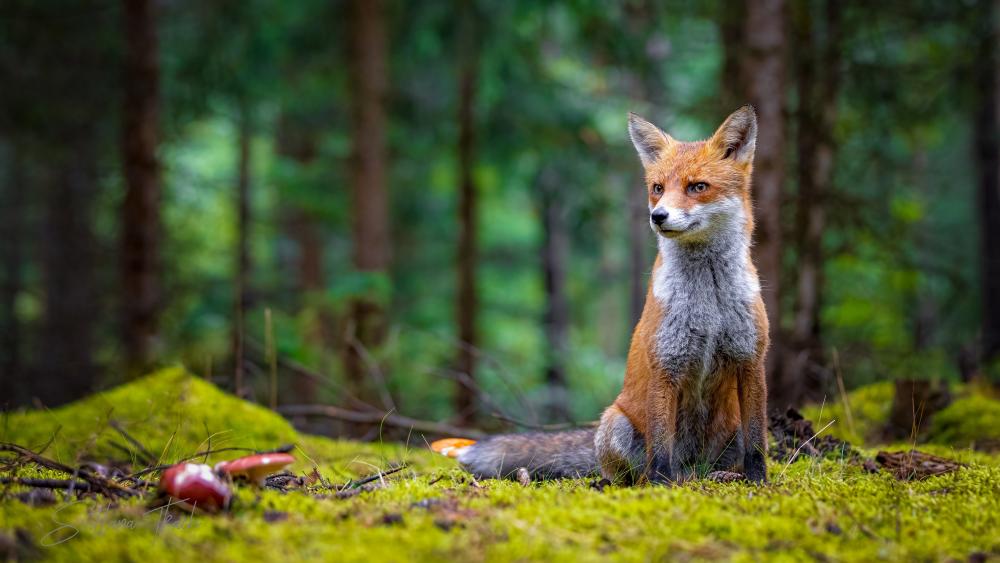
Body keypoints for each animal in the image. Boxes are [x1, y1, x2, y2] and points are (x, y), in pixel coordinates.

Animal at [434, 108, 768, 486]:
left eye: (697, 186)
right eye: (658, 188)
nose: (658, 216)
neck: (708, 301)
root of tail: (692, 468)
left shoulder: (751, 360)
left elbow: (757, 443)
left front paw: (759, 481)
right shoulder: (666, 363)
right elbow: (660, 448)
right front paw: (661, 487)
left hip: (726, 432)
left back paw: (723, 475)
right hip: (615, 424)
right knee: (636, 470)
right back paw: (638, 481)